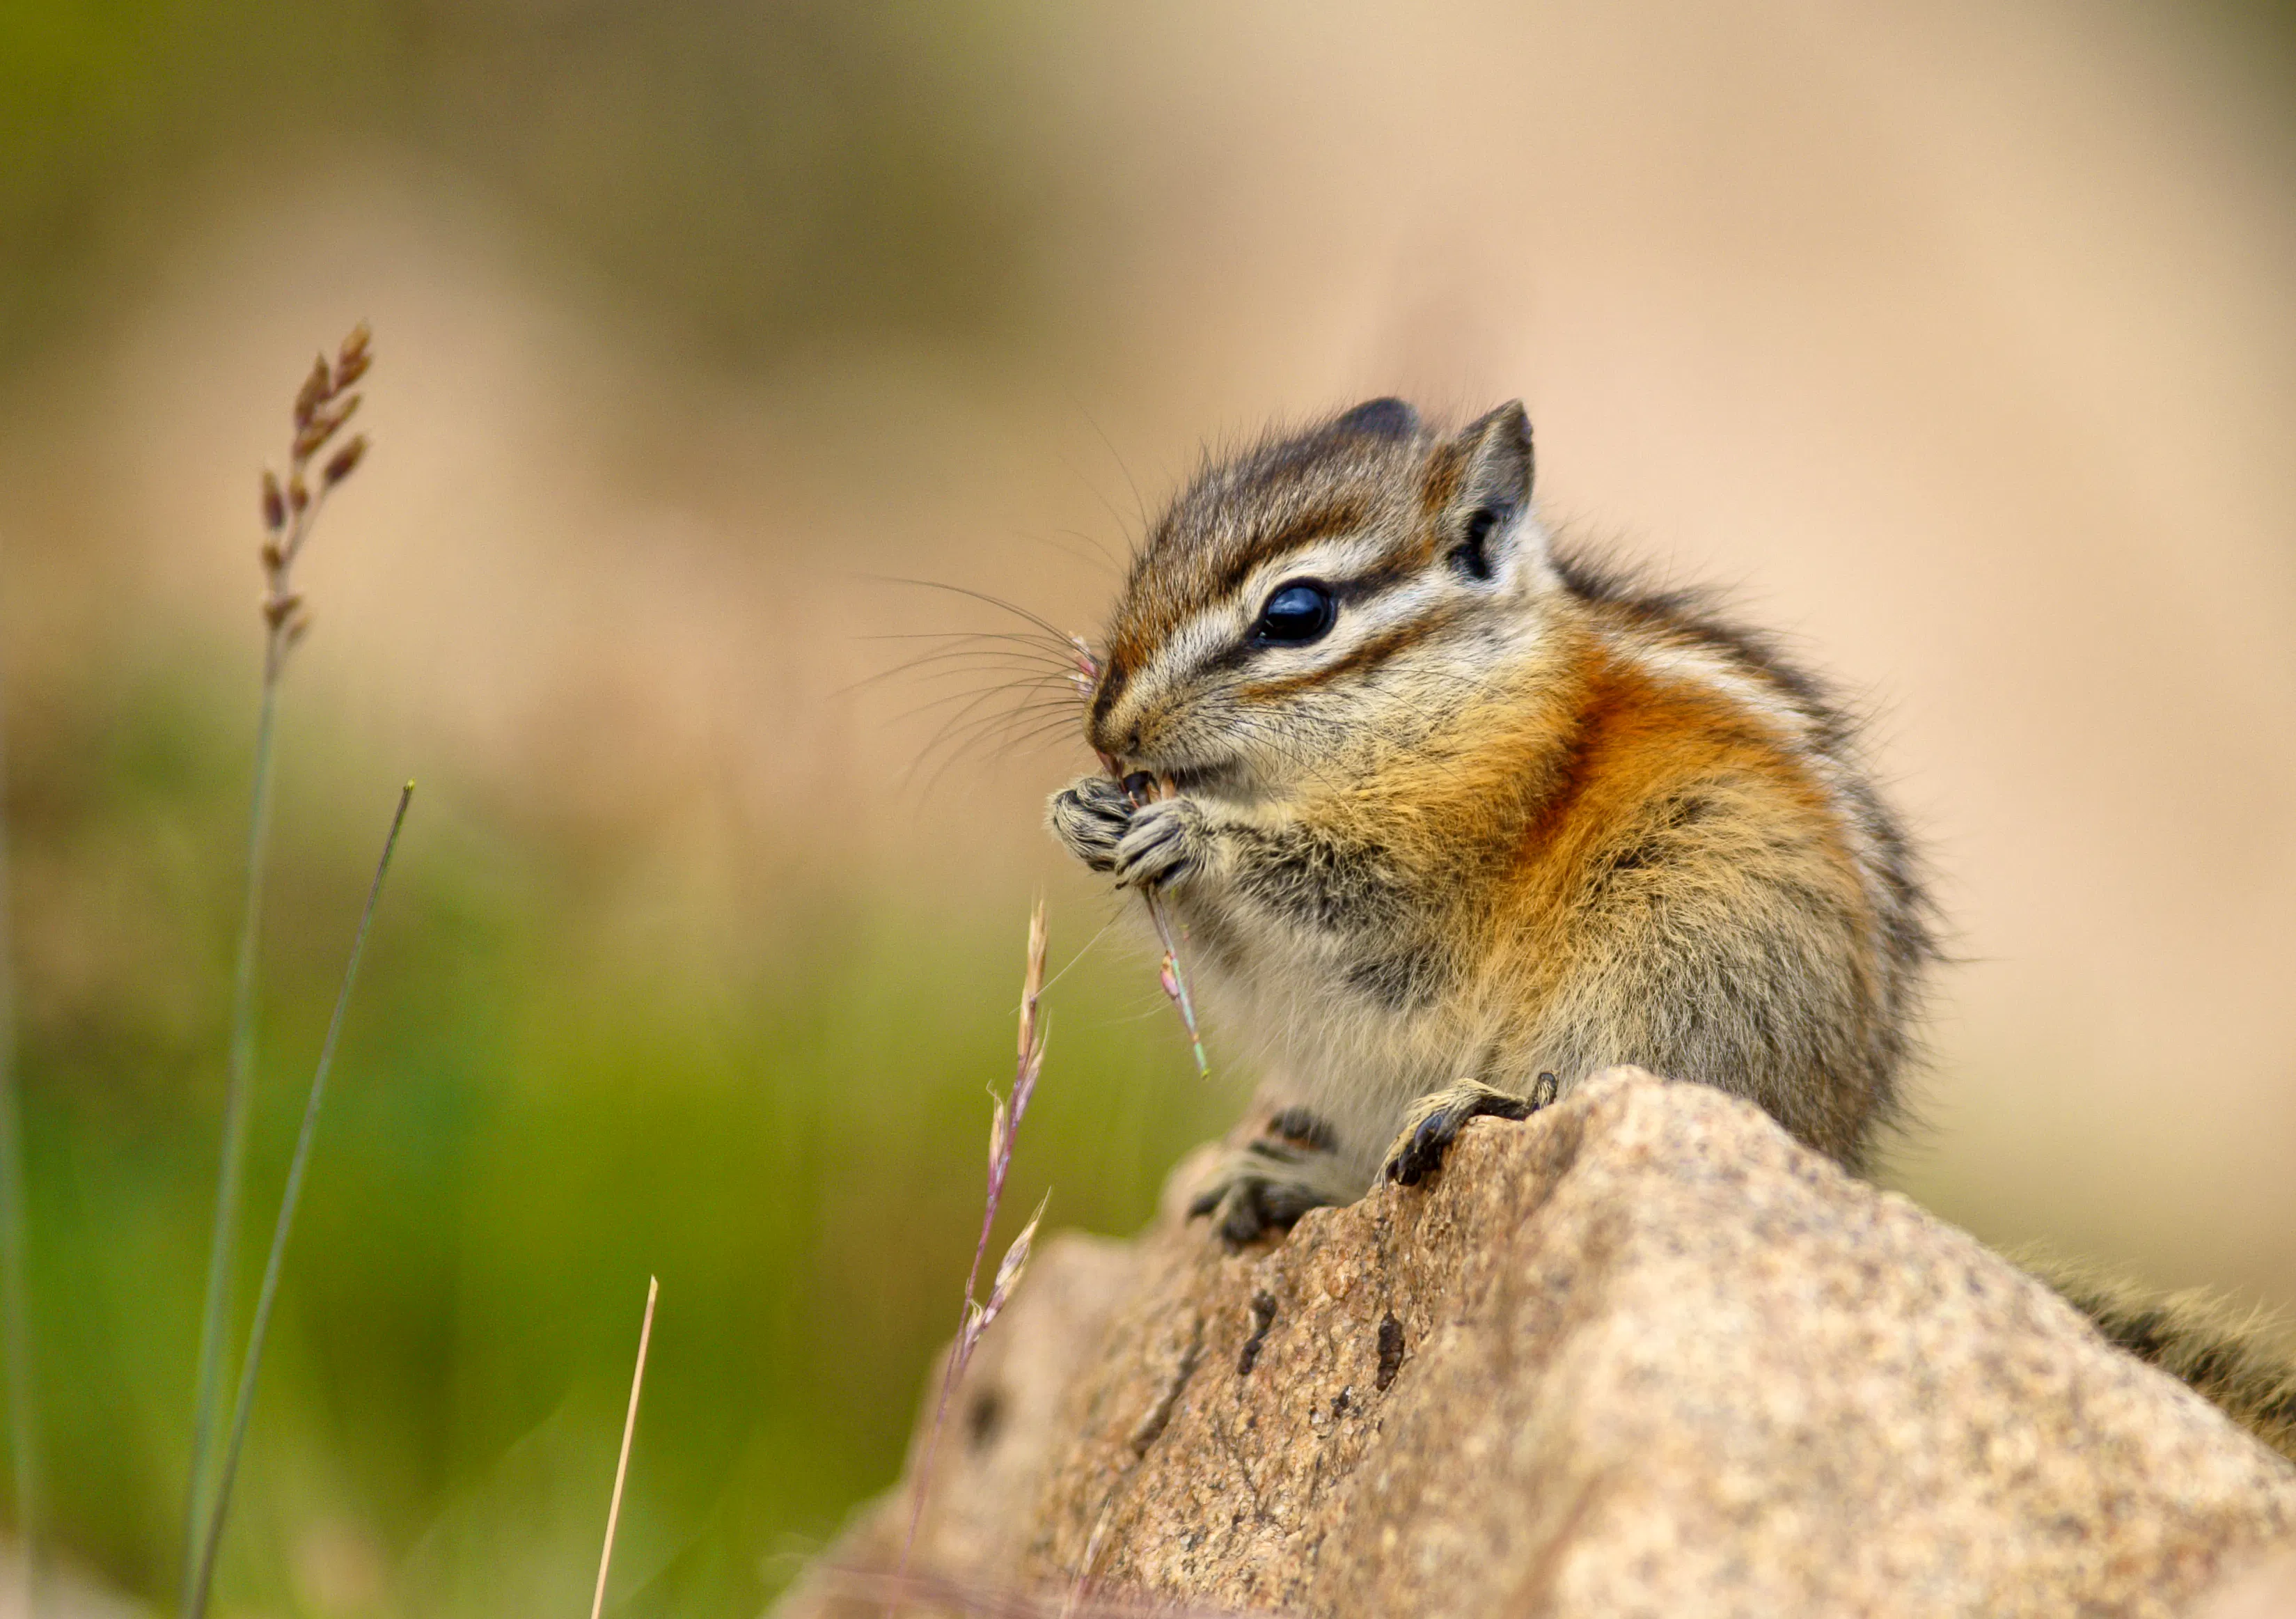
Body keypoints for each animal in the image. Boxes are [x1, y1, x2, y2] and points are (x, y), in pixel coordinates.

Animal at [1046, 396, 2295, 1462]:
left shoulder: (1451, 836)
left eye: (1296, 614)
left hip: (1678, 960)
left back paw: (1486, 1102)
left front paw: (1191, 836)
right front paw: (1084, 813)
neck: (1455, 689)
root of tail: (1829, 1155)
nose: (1108, 729)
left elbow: (1348, 887)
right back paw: (1286, 1178)